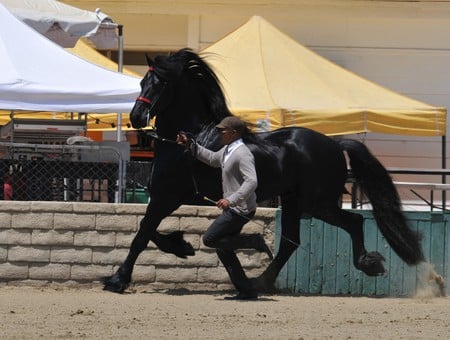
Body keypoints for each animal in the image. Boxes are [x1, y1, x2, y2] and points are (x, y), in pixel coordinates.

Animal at [103, 48, 428, 294]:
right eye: (142, 82)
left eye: (160, 84)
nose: (136, 117)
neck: (187, 141)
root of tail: (335, 145)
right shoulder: (169, 199)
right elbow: (150, 231)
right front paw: (182, 246)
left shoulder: (166, 197)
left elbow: (143, 233)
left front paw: (118, 279)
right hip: (295, 202)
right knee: (291, 241)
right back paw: (261, 281)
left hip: (317, 203)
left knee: (354, 222)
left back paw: (367, 264)